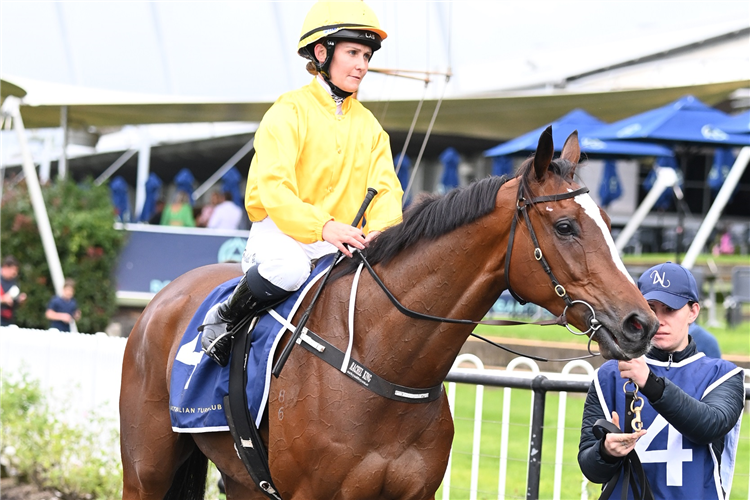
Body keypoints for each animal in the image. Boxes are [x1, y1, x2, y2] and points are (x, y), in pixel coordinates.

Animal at [119, 130, 656, 500]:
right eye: (565, 226)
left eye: (608, 224)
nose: (641, 323)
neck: (383, 362)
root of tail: (164, 300)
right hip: (145, 472)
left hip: (242, 479)